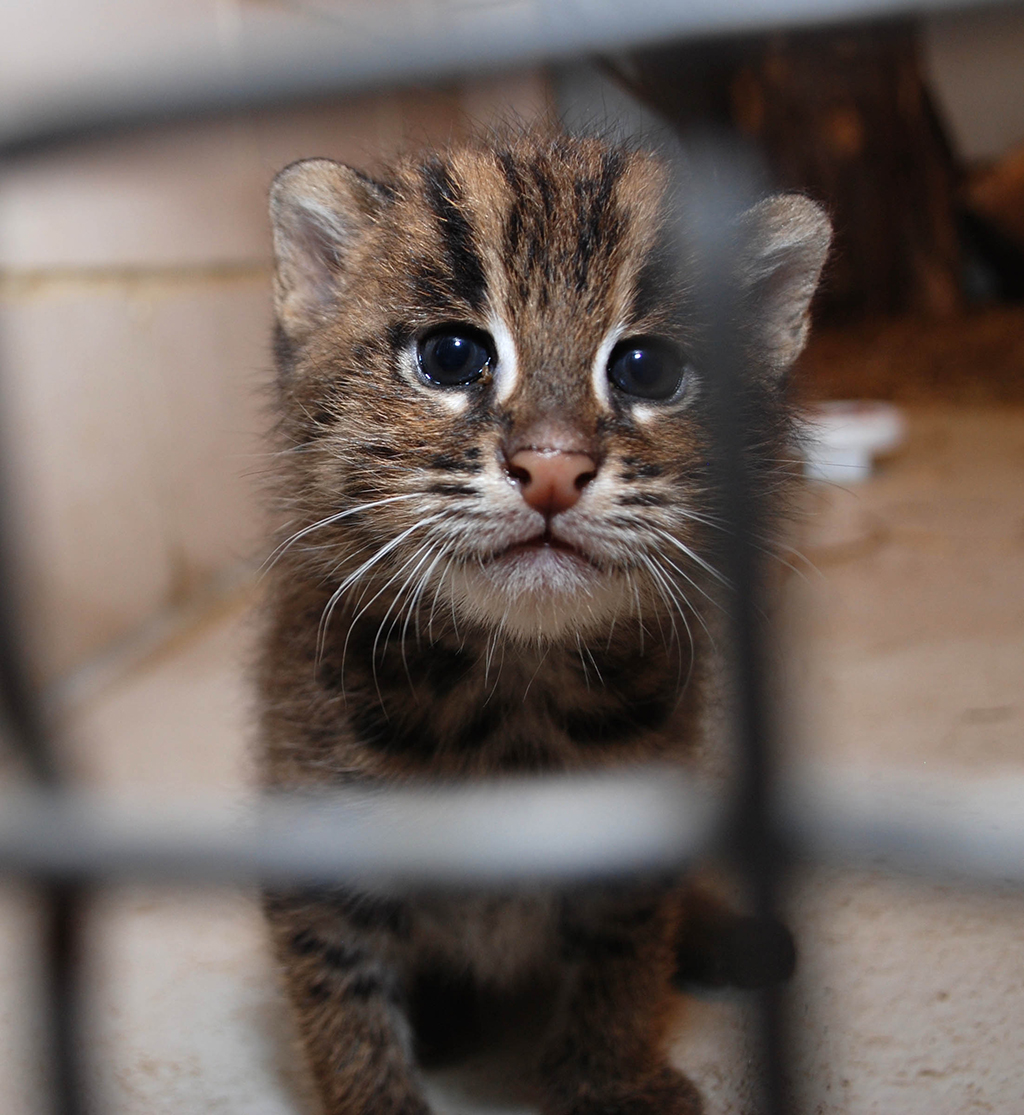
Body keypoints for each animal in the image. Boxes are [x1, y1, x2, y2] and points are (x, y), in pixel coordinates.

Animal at [261, 132, 829, 1115]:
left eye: (646, 369)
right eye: (452, 356)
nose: (555, 465)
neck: (512, 681)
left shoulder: (641, 816)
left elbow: (624, 958)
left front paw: (609, 1078)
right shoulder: (316, 848)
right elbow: (344, 1011)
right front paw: (378, 1094)